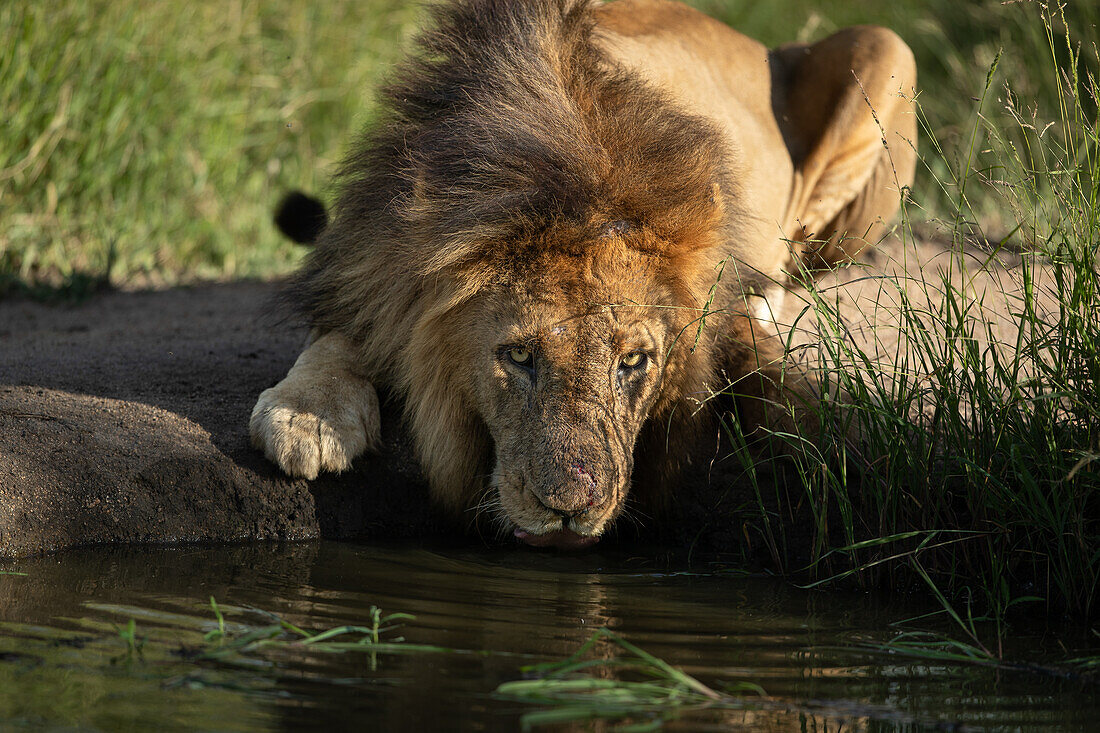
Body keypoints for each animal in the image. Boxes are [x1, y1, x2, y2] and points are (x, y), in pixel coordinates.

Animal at [253, 0, 915, 548]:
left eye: (633, 362)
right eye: (519, 356)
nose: (570, 511)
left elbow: (765, 361)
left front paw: (827, 426)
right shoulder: (367, 267)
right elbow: (336, 337)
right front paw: (308, 416)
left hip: (886, 49)